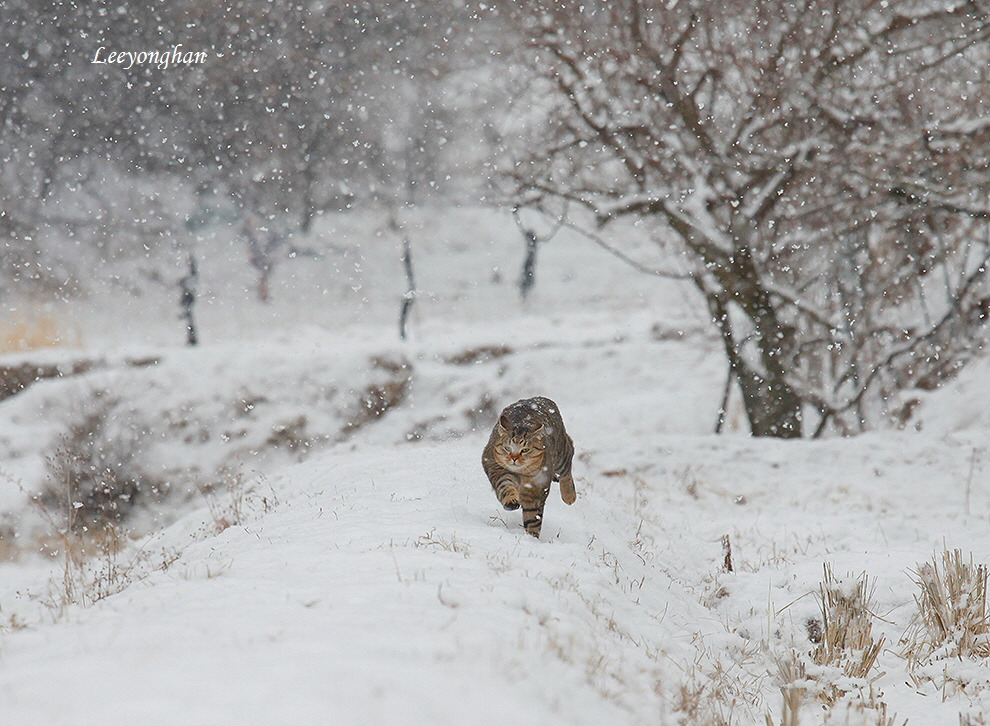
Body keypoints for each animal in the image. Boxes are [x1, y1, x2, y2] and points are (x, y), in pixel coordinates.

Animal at [480, 398, 572, 540]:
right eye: (507, 448)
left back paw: (569, 497)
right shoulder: (497, 469)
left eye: (525, 450)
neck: (522, 474)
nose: (514, 458)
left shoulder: (537, 488)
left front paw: (532, 538)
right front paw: (511, 501)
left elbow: (533, 517)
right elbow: (505, 486)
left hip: (561, 455)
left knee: (570, 454)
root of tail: (542, 398)